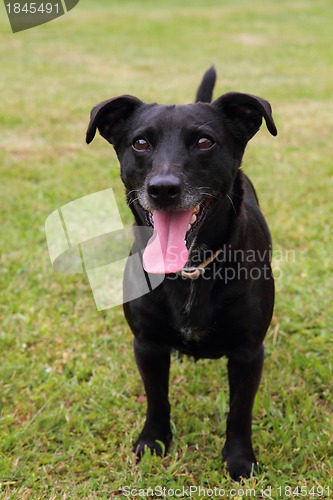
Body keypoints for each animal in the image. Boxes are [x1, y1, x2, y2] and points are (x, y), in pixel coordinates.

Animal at [86, 67, 278, 480]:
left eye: (205, 142)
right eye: (140, 143)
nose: (163, 189)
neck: (189, 270)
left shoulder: (248, 351)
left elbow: (240, 412)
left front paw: (239, 459)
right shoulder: (146, 344)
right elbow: (157, 398)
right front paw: (154, 442)